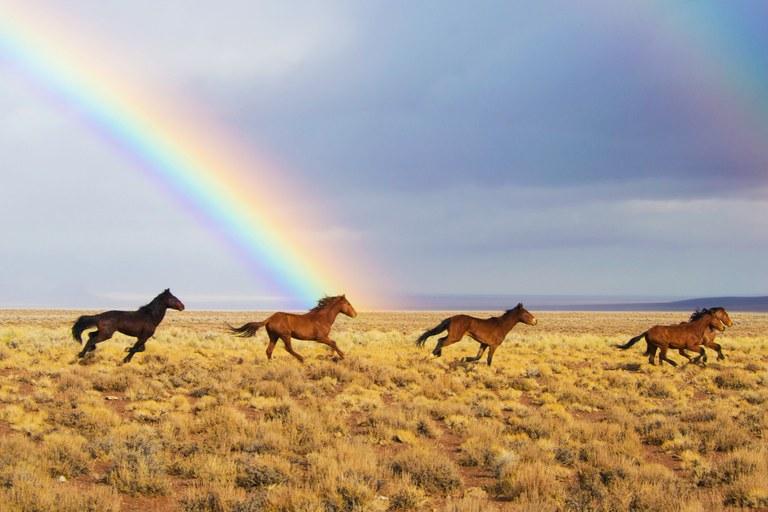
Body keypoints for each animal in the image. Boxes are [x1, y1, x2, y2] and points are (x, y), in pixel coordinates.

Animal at [228, 295, 357, 363]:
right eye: (348, 303)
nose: (355, 314)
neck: (322, 318)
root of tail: (269, 318)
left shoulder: (324, 338)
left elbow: (333, 343)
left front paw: (333, 355)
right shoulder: (320, 338)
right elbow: (333, 343)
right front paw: (342, 355)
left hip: (274, 336)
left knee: (269, 350)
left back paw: (271, 363)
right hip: (285, 335)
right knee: (288, 348)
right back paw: (301, 358)